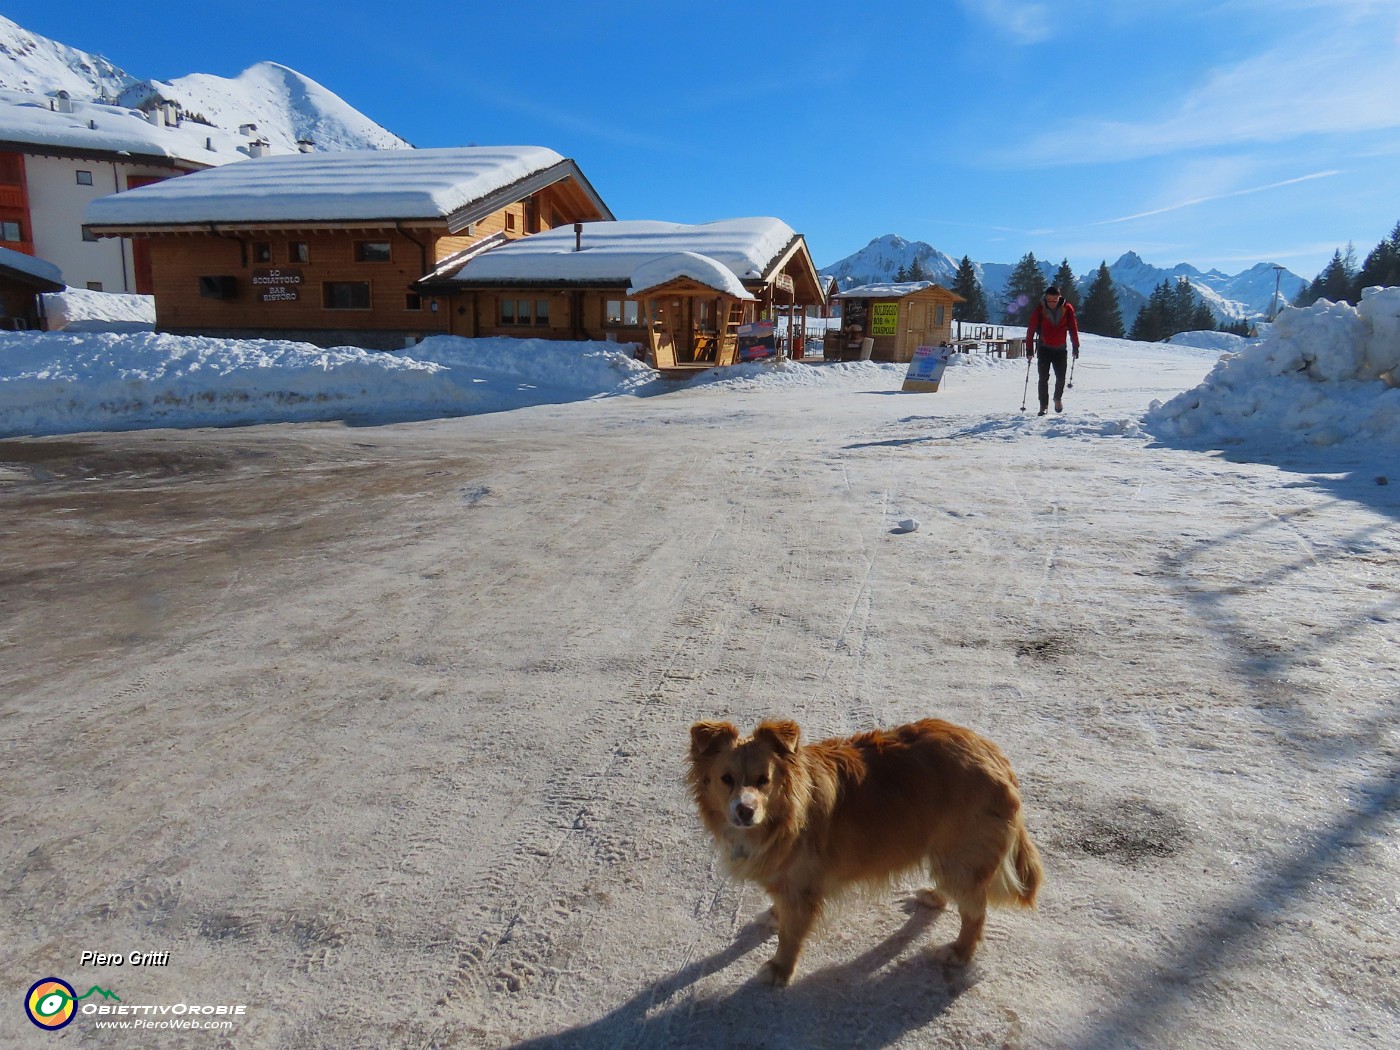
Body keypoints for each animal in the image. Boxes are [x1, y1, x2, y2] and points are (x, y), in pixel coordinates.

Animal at [688, 722, 1041, 985]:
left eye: (764, 780)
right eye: (726, 779)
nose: (744, 811)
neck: (784, 814)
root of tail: (995, 756)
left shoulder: (803, 888)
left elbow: (791, 934)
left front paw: (780, 970)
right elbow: (781, 909)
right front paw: (774, 916)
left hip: (960, 854)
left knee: (975, 911)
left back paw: (960, 951)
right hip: (946, 851)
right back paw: (935, 896)